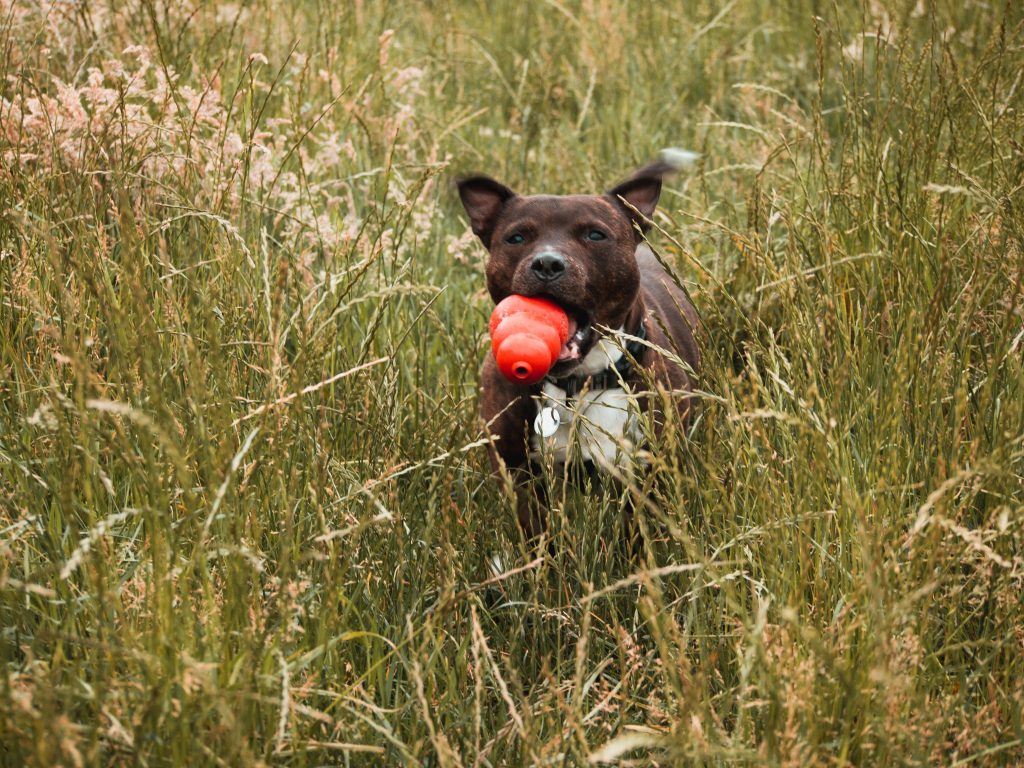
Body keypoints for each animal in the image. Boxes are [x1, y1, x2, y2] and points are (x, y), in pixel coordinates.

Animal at [460, 154, 700, 540]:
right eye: (516, 237)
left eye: (595, 234)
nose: (547, 262)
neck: (578, 384)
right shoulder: (519, 475)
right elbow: (539, 538)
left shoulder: (648, 474)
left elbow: (635, 537)